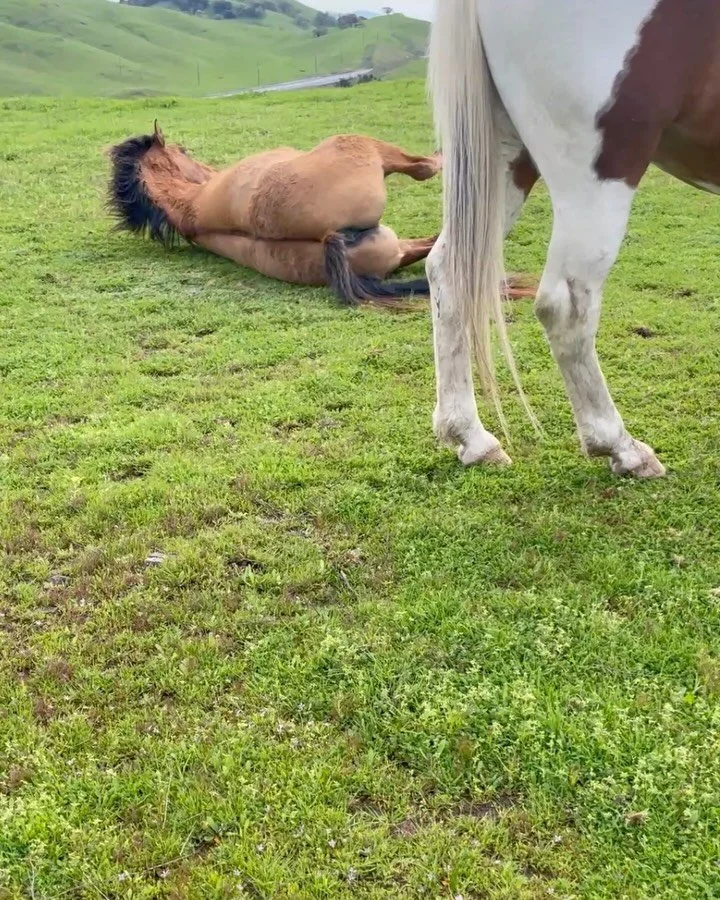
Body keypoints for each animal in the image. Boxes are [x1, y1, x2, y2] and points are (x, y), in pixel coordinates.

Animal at [429, 0, 720, 477]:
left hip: (503, 157)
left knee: (448, 273)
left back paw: (471, 437)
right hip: (602, 169)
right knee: (566, 307)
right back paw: (620, 447)